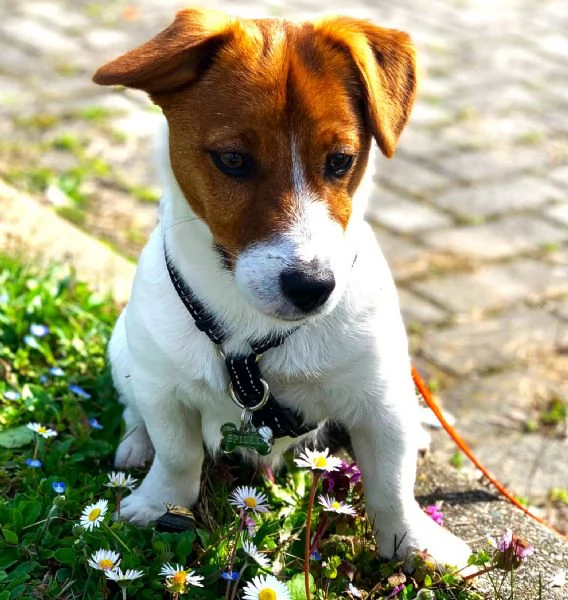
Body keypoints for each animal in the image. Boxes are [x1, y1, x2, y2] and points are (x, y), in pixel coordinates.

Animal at [95, 7, 472, 564]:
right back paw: (135, 443)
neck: (253, 339)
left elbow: (391, 487)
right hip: (126, 351)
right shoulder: (164, 390)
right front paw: (158, 503)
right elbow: (177, 454)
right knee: (133, 409)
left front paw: (413, 543)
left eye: (341, 161)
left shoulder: (381, 403)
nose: (312, 287)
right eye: (232, 159)